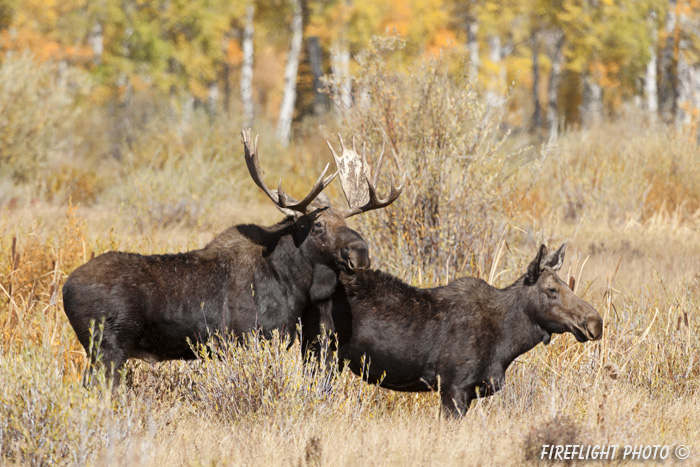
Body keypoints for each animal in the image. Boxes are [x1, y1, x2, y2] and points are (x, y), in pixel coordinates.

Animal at [63, 129, 402, 384]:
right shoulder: (251, 338)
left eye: (346, 222)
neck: (292, 285)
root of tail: (66, 288)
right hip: (107, 348)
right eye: (318, 225)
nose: (360, 253)